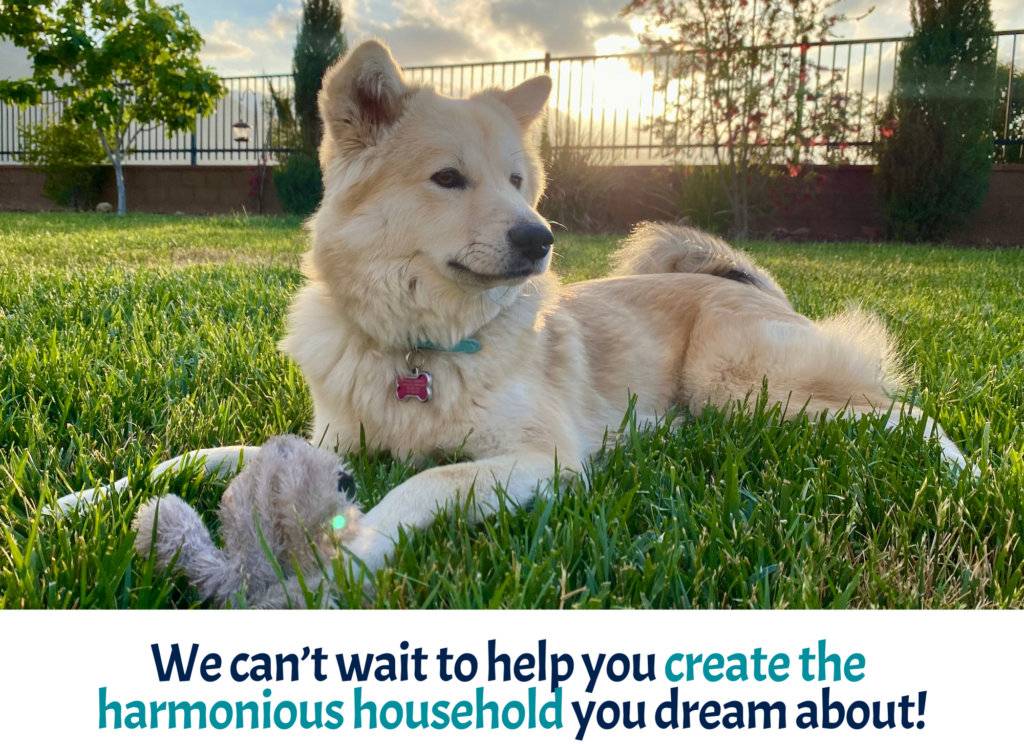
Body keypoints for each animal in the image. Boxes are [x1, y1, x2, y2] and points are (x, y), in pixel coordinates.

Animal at [58, 37, 974, 577]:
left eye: (515, 180)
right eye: (448, 178)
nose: (541, 239)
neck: (421, 348)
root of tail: (738, 278)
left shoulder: (541, 461)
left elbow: (426, 484)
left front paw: (356, 548)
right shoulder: (331, 443)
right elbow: (197, 455)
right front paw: (84, 498)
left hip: (748, 385)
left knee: (904, 412)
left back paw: (965, 472)